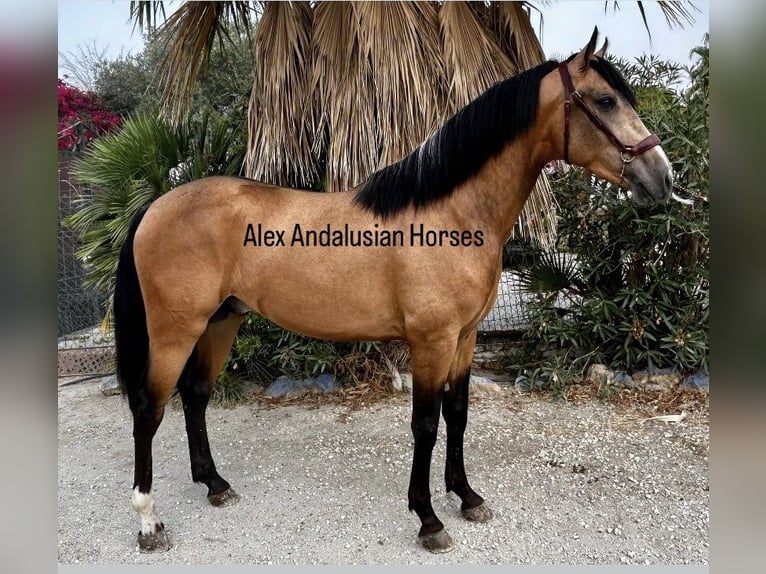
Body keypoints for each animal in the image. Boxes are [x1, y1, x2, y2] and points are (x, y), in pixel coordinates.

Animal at [112, 29, 672, 556]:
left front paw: (467, 497)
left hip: (222, 320)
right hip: (175, 330)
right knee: (149, 408)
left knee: (196, 396)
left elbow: (457, 415)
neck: (452, 214)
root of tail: (156, 206)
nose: (662, 178)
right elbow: (425, 424)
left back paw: (215, 484)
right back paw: (148, 521)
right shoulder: (430, 341)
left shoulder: (464, 338)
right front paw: (429, 520)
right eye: (605, 100)